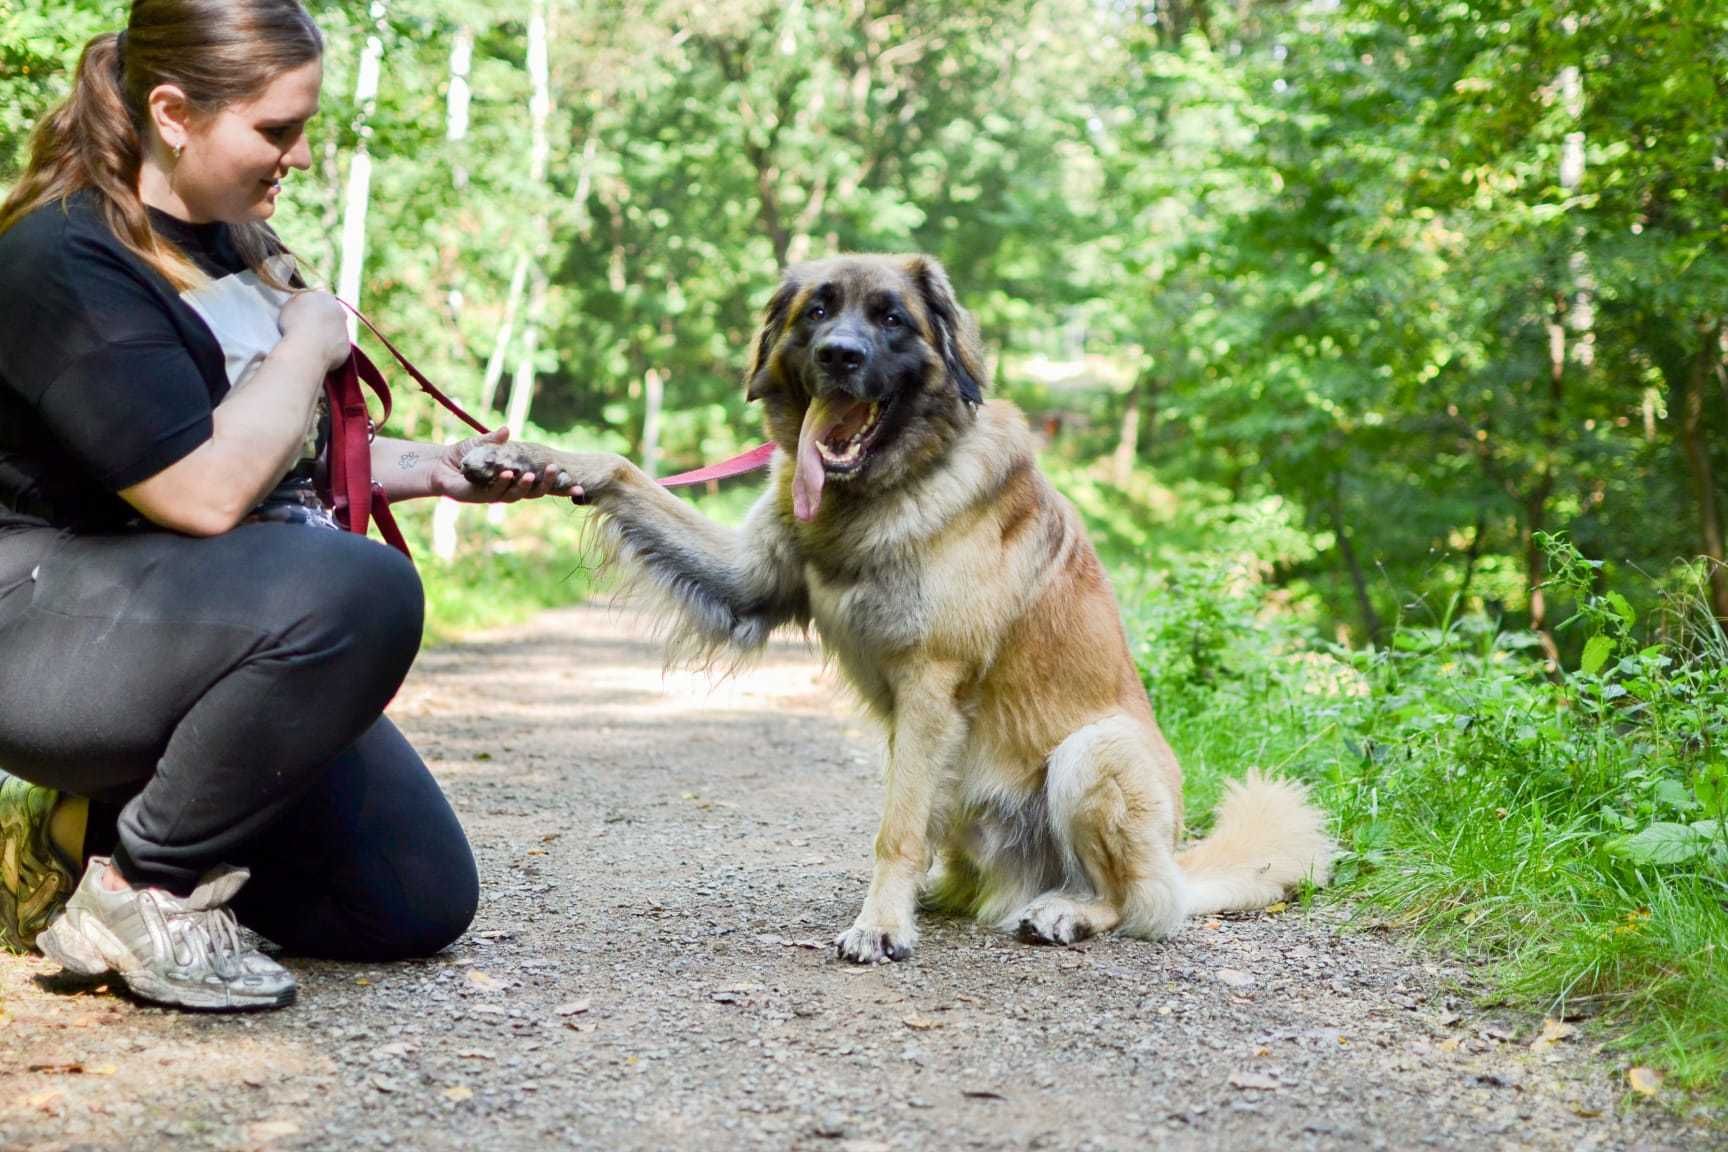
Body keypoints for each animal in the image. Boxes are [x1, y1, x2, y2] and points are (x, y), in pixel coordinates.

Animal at [463, 253, 1334, 967]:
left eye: (891, 319)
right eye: (817, 310)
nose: (839, 357)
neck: (884, 488)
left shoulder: (929, 681)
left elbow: (894, 831)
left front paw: (879, 926)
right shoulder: (749, 580)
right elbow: (622, 468)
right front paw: (527, 456)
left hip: (1097, 751)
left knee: (1140, 903)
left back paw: (1065, 912)